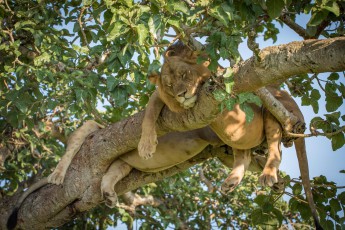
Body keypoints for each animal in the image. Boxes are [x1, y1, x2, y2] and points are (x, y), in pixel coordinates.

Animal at [138, 42, 322, 229]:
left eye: (184, 74)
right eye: (169, 85)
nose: (181, 94)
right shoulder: (161, 97)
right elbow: (149, 113)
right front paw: (145, 146)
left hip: (274, 111)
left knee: (276, 149)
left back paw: (269, 175)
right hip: (240, 140)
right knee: (244, 157)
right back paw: (233, 180)